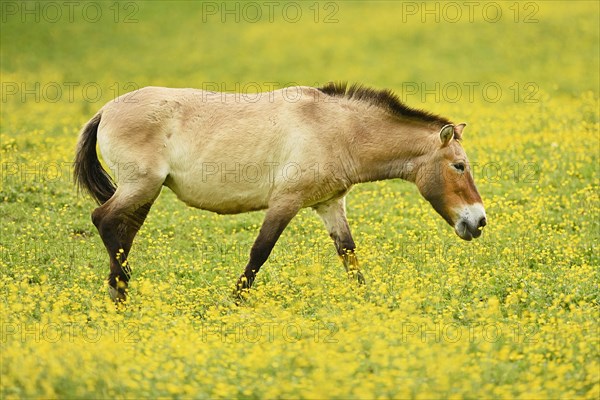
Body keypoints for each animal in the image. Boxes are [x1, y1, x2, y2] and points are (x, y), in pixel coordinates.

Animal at [75, 84, 488, 304]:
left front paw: (366, 301)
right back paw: (121, 291)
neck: (337, 129)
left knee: (122, 232)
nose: (479, 221)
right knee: (105, 221)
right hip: (140, 186)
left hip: (145, 192)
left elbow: (348, 254)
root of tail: (105, 110)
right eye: (459, 166)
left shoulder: (329, 204)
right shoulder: (285, 202)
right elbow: (260, 252)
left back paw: (120, 292)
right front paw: (234, 301)